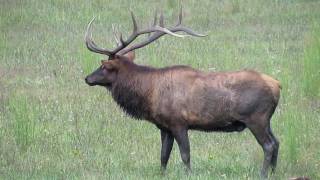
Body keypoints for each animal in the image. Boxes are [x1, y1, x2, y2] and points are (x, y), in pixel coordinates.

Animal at [84, 8, 282, 177]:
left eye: (103, 67)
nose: (87, 78)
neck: (149, 93)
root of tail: (277, 85)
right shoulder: (164, 126)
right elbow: (163, 156)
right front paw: (162, 174)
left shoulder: (179, 122)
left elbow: (185, 155)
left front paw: (188, 174)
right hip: (266, 120)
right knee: (277, 142)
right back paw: (273, 173)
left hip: (256, 117)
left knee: (268, 145)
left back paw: (263, 174)